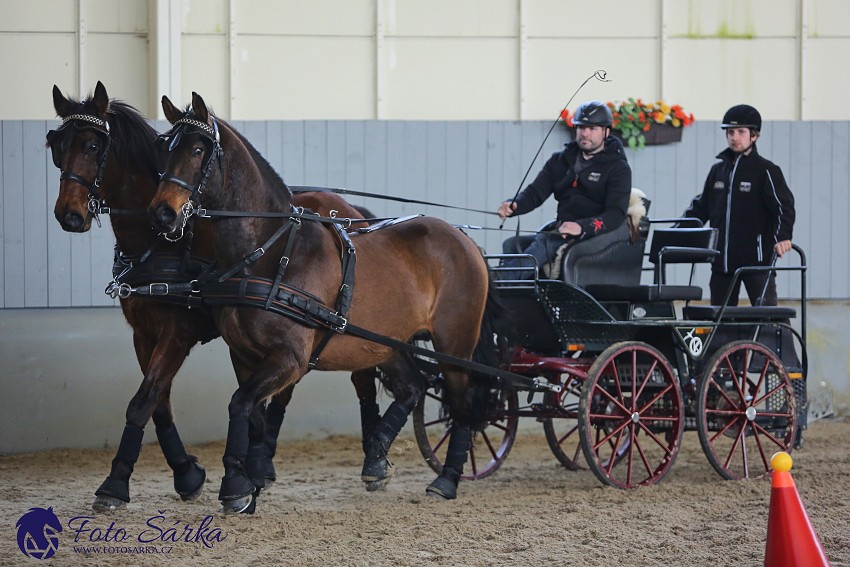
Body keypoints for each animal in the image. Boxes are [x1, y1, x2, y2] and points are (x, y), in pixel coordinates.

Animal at [49, 84, 380, 516]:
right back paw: (262, 465)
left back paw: (373, 461)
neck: (158, 242)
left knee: (362, 377)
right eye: (56, 146)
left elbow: (143, 400)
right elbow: (157, 402)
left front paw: (115, 484)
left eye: (92, 145)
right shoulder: (143, 333)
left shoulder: (178, 331)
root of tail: (349, 212)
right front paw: (187, 473)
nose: (68, 215)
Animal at [147, 92, 490, 510]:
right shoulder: (244, 356)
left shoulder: (290, 357)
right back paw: (378, 452)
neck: (270, 251)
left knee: (462, 405)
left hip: (455, 344)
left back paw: (448, 478)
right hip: (386, 342)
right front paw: (252, 478)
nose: (162, 213)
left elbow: (240, 404)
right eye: (163, 148)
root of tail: (462, 237)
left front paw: (236, 486)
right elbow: (253, 415)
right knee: (414, 386)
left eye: (198, 150)